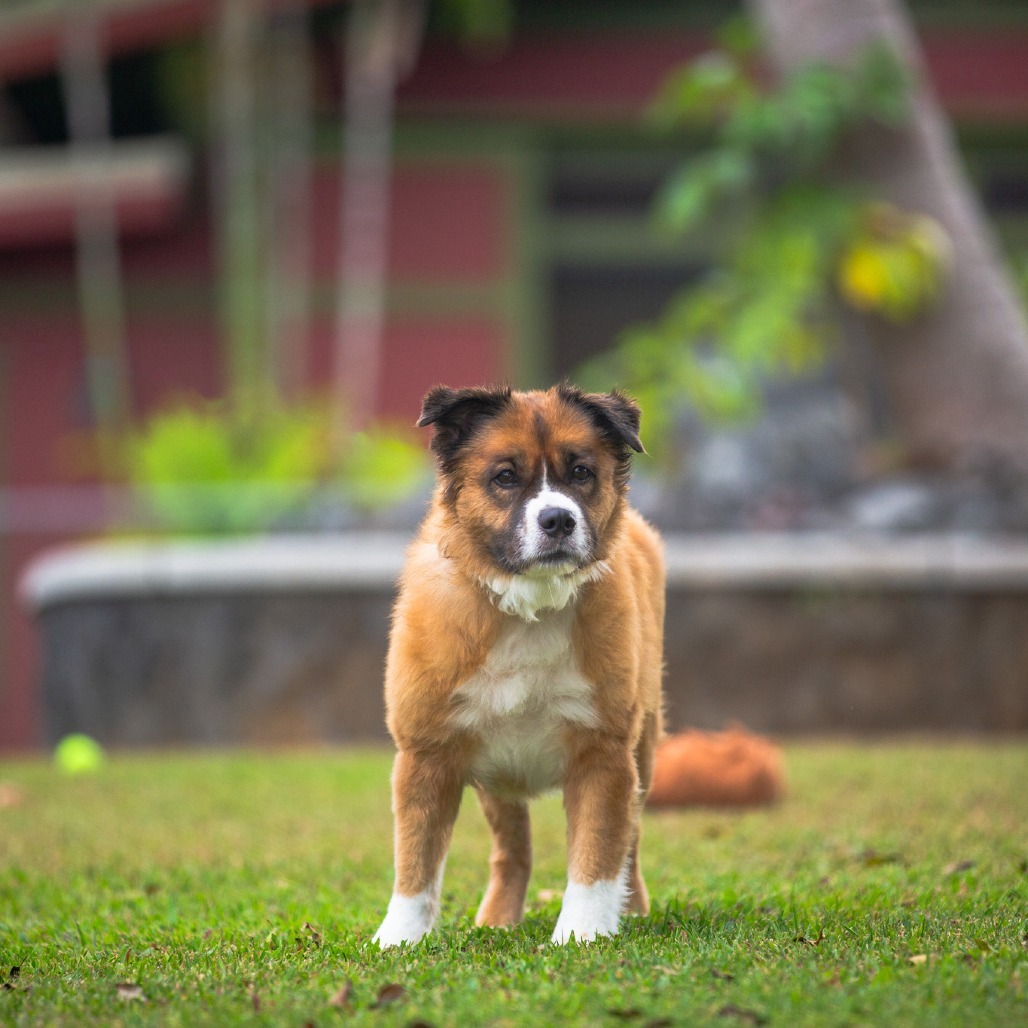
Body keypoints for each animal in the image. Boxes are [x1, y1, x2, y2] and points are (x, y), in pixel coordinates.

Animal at [374, 382, 662, 941]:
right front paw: (396, 940)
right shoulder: (426, 755)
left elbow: (597, 858)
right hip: (496, 778)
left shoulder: (605, 753)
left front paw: (583, 934)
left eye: (581, 472)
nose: (558, 519)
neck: (530, 605)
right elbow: (415, 863)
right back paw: (497, 921)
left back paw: (633, 910)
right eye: (505, 476)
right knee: (512, 850)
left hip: (644, 750)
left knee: (631, 847)